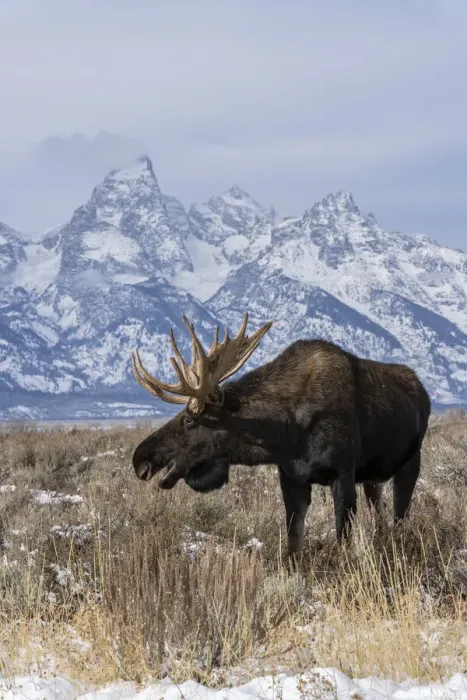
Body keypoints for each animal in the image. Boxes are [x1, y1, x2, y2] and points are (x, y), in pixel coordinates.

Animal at [130, 313, 431, 557]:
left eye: (189, 419)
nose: (139, 458)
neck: (285, 434)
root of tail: (424, 392)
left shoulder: (343, 473)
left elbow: (342, 538)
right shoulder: (291, 478)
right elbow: (294, 544)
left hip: (410, 462)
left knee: (400, 516)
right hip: (372, 478)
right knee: (381, 515)